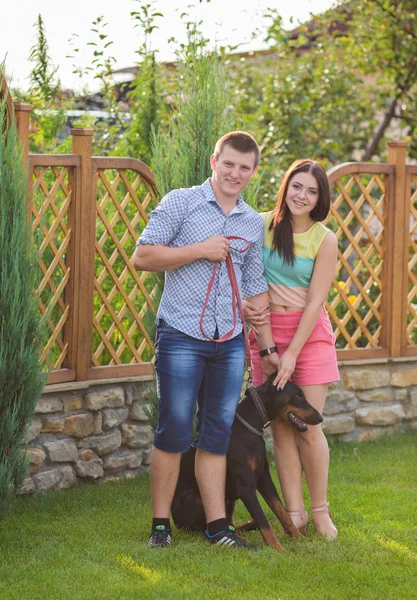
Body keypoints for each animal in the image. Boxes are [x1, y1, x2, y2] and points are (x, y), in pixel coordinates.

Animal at [171, 378, 324, 552]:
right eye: (298, 396)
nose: (320, 418)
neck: (250, 424)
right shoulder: (246, 487)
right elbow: (264, 521)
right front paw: (279, 549)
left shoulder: (264, 478)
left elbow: (283, 512)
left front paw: (300, 538)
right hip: (196, 499)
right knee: (206, 529)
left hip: (228, 501)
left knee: (230, 524)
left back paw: (246, 529)